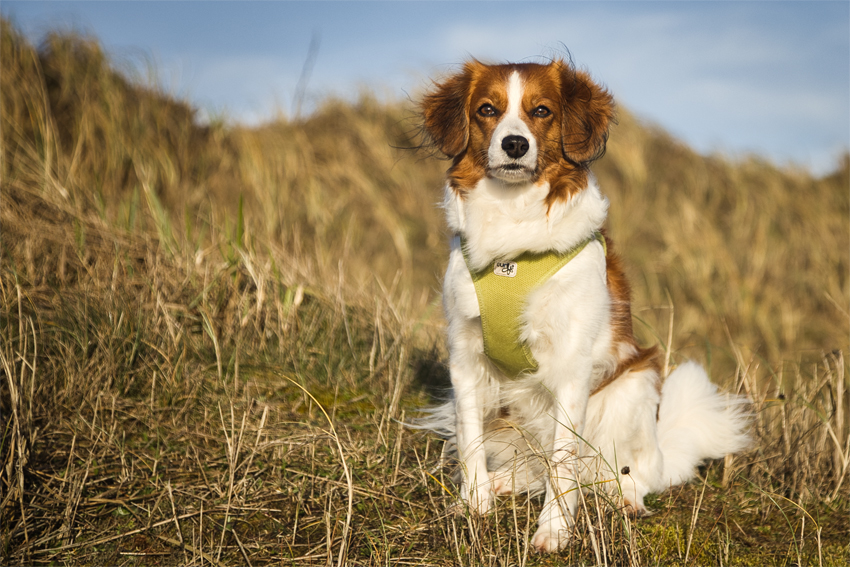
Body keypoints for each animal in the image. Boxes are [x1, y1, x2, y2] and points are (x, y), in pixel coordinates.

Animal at [418, 60, 748, 552]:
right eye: (487, 110)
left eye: (541, 111)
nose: (514, 144)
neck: (514, 231)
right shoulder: (465, 355)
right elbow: (471, 438)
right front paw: (474, 505)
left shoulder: (571, 367)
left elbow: (563, 461)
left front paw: (554, 530)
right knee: (532, 469)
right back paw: (501, 482)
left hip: (634, 387)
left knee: (626, 473)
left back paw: (624, 499)